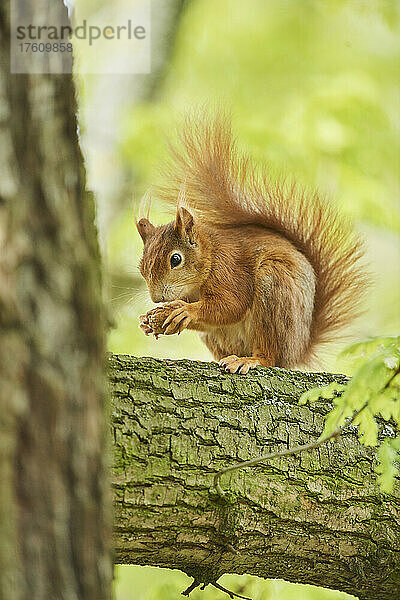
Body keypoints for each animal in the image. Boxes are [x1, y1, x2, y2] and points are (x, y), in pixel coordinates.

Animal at [136, 114, 368, 372]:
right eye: (142, 268)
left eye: (175, 259)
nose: (157, 298)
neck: (209, 257)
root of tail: (298, 351)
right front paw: (148, 321)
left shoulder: (228, 271)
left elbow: (231, 305)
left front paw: (185, 310)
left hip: (274, 288)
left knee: (269, 356)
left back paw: (251, 359)